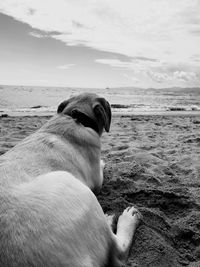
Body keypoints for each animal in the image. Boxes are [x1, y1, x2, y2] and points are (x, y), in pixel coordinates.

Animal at [0, 93, 141, 266]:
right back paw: (127, 219)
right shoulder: (97, 180)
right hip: (72, 185)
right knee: (117, 251)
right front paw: (103, 162)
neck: (75, 117)